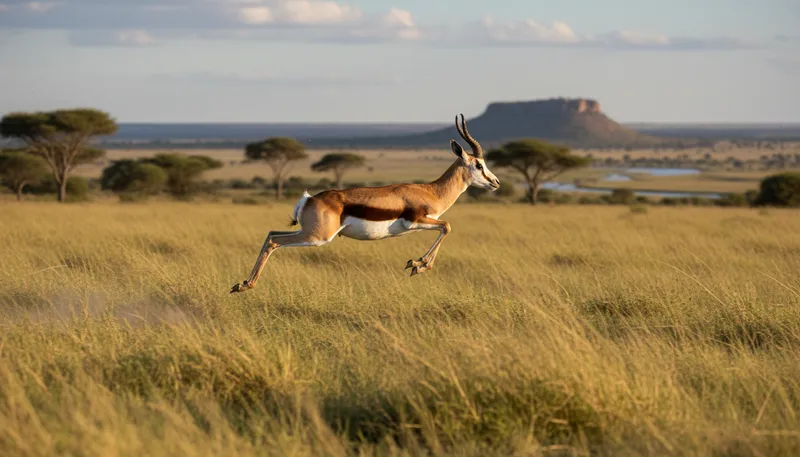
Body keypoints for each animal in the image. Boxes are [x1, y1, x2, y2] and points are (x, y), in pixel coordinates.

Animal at [229, 114, 500, 294]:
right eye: (478, 164)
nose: (496, 182)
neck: (431, 191)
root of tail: (309, 199)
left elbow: (445, 228)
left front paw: (417, 265)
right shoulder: (417, 221)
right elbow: (447, 226)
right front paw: (417, 264)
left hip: (307, 232)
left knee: (270, 234)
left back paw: (241, 284)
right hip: (317, 237)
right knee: (275, 241)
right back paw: (247, 285)